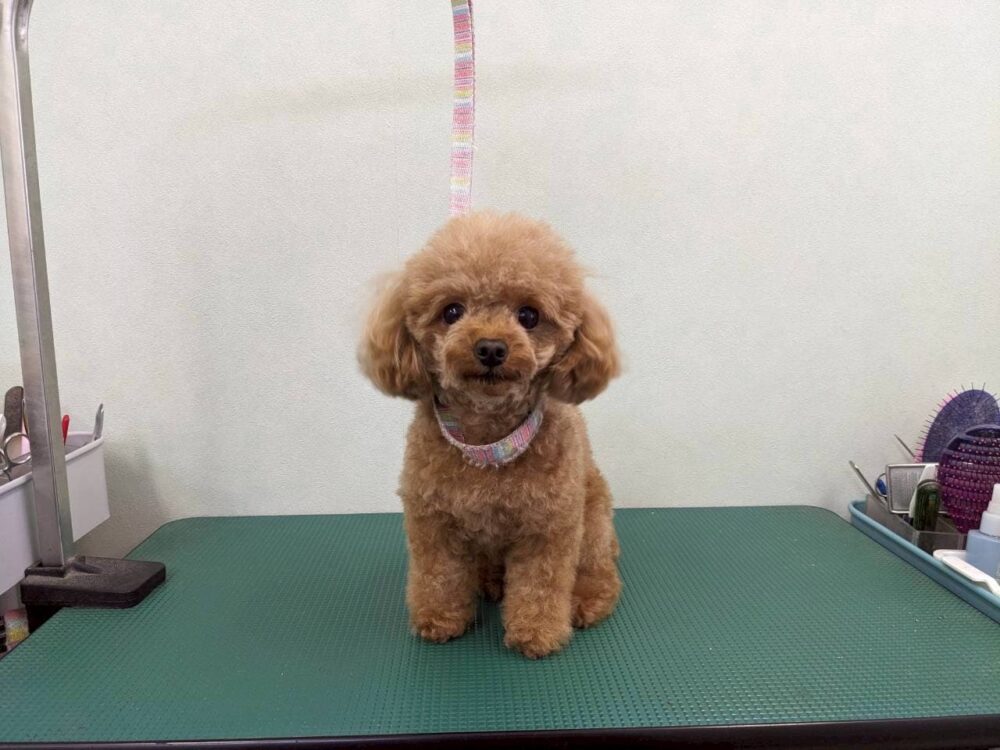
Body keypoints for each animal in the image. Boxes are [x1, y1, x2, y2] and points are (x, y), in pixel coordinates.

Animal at [359, 211, 621, 658]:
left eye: (529, 316)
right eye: (452, 311)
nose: (491, 348)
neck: (487, 442)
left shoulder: (547, 528)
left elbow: (540, 585)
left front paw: (537, 633)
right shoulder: (433, 521)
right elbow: (438, 575)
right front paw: (439, 620)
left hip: (593, 520)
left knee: (600, 571)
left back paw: (586, 599)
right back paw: (488, 582)